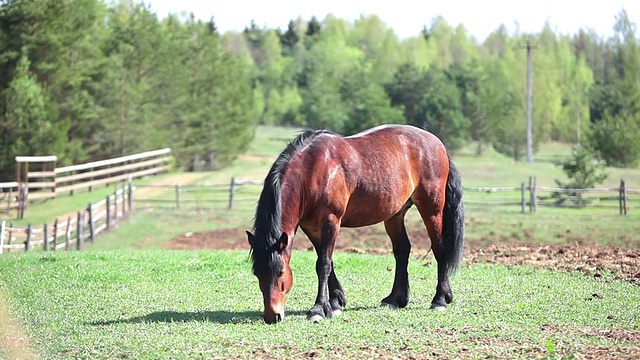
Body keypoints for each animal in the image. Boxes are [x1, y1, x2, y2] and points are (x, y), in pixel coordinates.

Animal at [246, 124, 464, 324]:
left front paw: (319, 309)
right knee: (402, 250)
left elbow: (323, 264)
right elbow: (327, 261)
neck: (314, 169)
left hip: (432, 209)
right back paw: (395, 299)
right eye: (257, 273)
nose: (272, 316)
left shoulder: (330, 221)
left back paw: (440, 299)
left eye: (281, 272)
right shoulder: (311, 227)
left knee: (439, 247)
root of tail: (436, 142)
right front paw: (336, 302)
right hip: (395, 215)